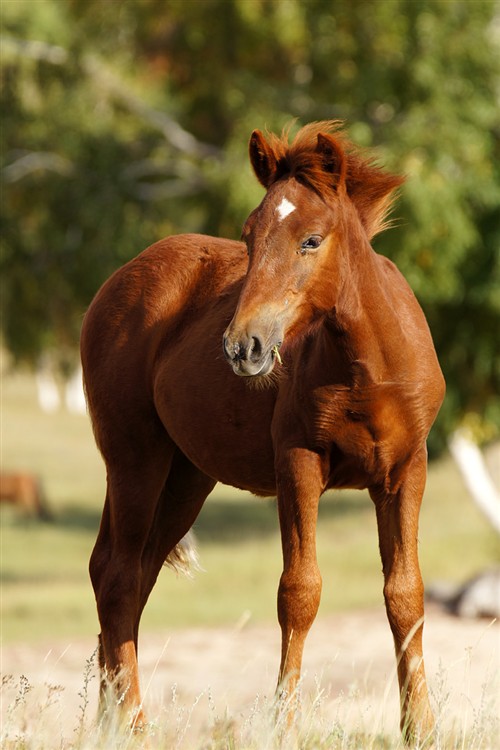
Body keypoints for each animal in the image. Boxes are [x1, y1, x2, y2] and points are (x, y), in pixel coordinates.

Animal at [81, 120, 446, 744]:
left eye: (311, 240)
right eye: (249, 238)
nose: (242, 346)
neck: (370, 368)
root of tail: (116, 281)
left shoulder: (406, 472)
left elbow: (405, 594)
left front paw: (420, 728)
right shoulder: (297, 463)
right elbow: (299, 592)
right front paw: (284, 728)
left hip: (185, 477)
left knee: (134, 573)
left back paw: (109, 723)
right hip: (135, 459)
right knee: (118, 574)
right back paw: (131, 726)